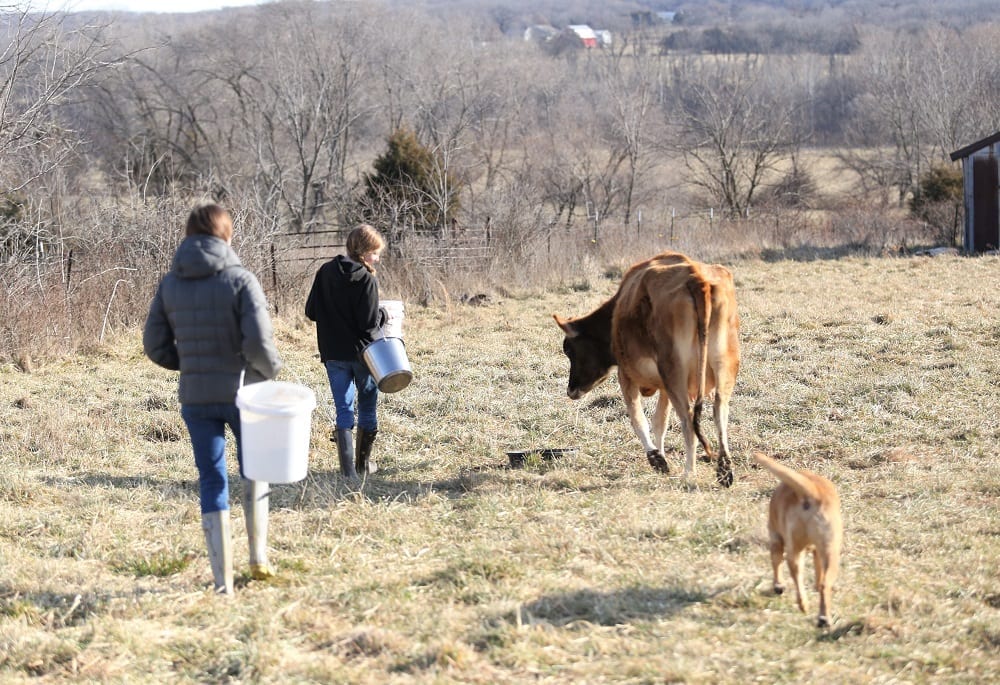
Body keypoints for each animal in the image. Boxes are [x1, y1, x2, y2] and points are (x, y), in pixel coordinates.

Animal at [556, 251, 744, 486]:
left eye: (569, 350)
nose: (570, 390)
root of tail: (696, 278)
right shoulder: (664, 387)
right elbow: (659, 422)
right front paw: (660, 453)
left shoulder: (627, 375)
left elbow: (638, 419)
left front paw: (656, 457)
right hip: (723, 365)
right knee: (720, 411)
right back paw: (724, 469)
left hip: (674, 372)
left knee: (688, 419)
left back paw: (689, 473)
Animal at [752, 452, 840, 628]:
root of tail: (811, 493)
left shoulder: (775, 537)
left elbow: (776, 562)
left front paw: (778, 586)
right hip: (830, 551)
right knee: (824, 583)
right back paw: (823, 617)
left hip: (797, 549)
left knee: (795, 573)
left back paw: (803, 605)